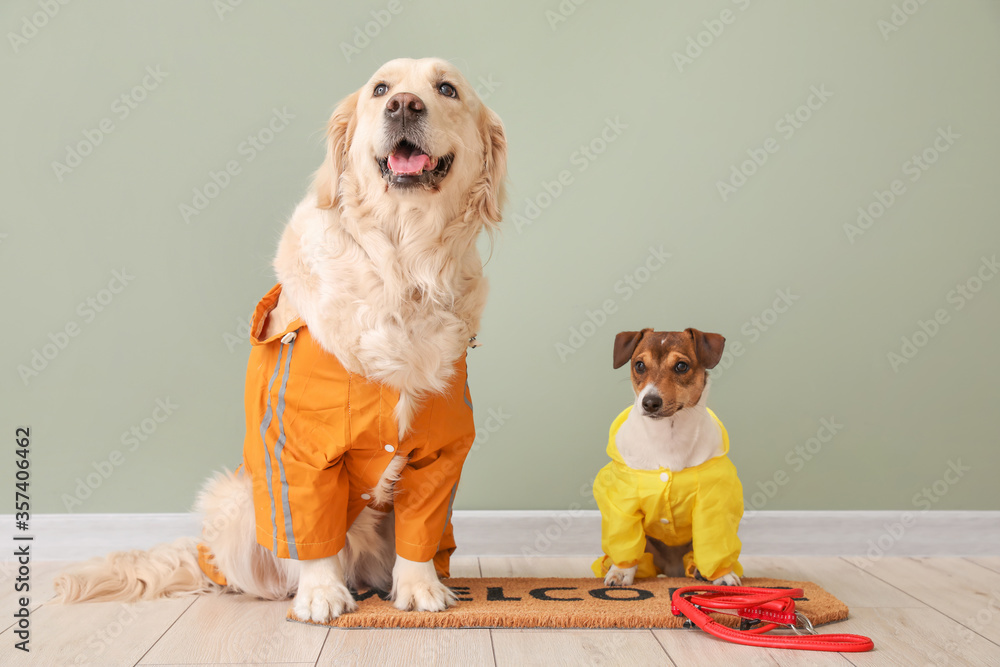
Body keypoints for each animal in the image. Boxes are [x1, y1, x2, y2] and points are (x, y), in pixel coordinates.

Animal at [52, 58, 508, 628]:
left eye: (447, 89)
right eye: (380, 89)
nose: (403, 105)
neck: (403, 265)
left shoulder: (442, 449)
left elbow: (418, 530)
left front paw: (421, 589)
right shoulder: (296, 447)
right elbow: (310, 532)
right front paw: (320, 596)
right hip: (235, 501)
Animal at [588, 332, 748, 588]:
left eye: (681, 366)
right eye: (639, 365)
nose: (650, 402)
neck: (668, 436)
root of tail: (672, 569)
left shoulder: (714, 502)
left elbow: (715, 543)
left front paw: (722, 575)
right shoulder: (623, 501)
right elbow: (625, 543)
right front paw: (621, 572)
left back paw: (699, 571)